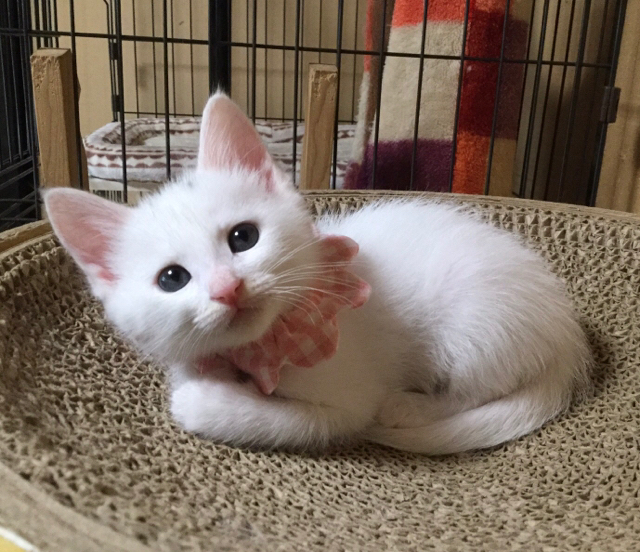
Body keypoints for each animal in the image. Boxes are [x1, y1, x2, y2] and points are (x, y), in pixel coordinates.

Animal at [43, 93, 591, 455]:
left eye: (243, 237)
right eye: (172, 279)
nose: (227, 288)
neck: (261, 347)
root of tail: (566, 332)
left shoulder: (348, 395)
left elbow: (307, 422)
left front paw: (204, 402)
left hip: (475, 326)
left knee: (474, 389)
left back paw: (410, 407)